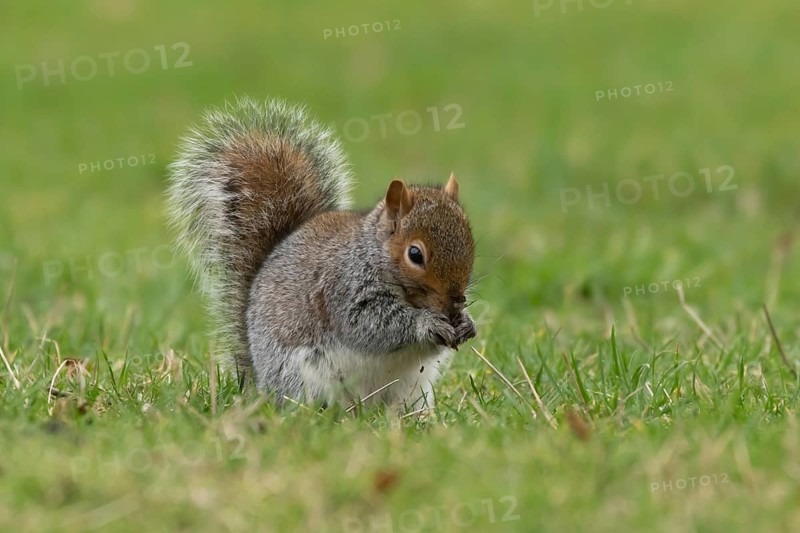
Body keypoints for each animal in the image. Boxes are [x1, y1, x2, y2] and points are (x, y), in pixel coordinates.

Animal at [167, 97, 476, 409]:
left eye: (470, 241)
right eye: (415, 254)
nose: (455, 302)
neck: (372, 254)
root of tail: (260, 383)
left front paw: (466, 324)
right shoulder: (342, 288)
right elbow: (371, 324)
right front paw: (428, 324)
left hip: (413, 391)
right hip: (303, 377)